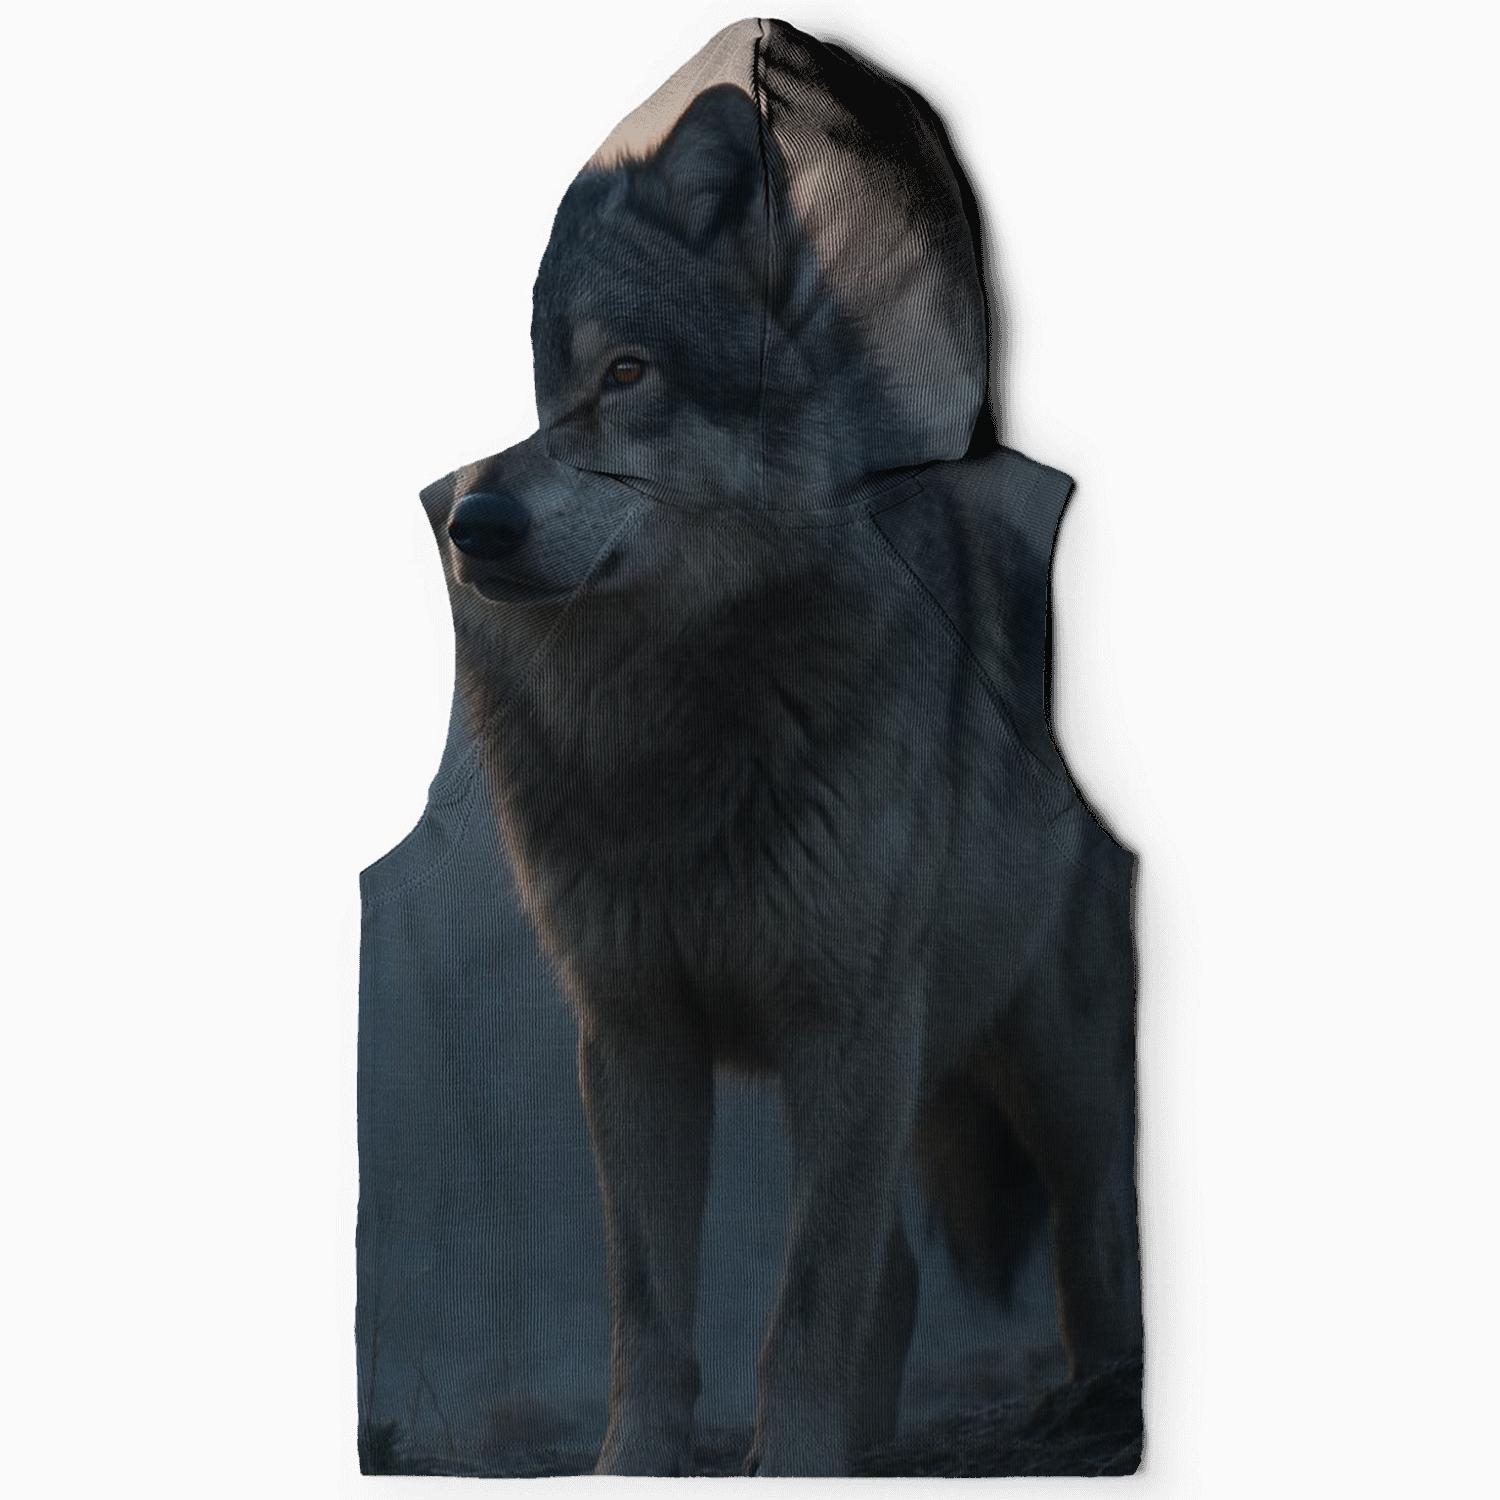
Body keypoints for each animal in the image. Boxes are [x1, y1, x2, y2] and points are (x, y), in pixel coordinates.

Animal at [430, 50, 1140, 1479]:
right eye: (530, 392)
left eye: (626, 373)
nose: (475, 524)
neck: (672, 716)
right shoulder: (633, 1035)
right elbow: (652, 1308)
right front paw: (635, 1467)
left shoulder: (845, 1028)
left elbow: (807, 1298)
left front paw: (795, 1455)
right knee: (905, 1280)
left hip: (1049, 1062)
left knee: (1093, 1239)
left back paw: (1095, 1405)